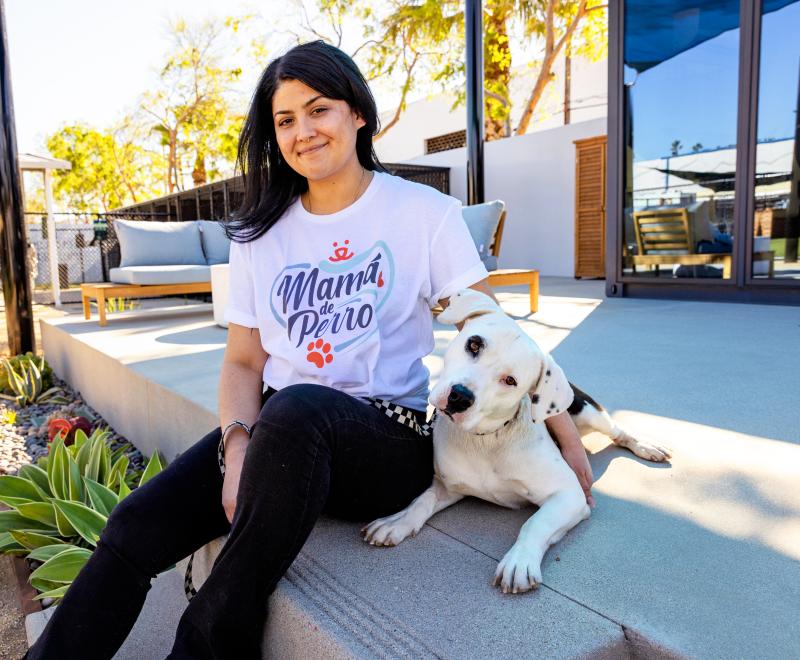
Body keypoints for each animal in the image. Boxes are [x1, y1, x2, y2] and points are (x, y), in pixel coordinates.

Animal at [362, 288, 668, 592]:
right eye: (474, 345)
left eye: (510, 380)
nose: (460, 396)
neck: (487, 439)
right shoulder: (447, 486)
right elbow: (421, 501)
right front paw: (398, 521)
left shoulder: (569, 496)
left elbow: (535, 523)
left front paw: (519, 560)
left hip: (589, 413)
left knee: (618, 432)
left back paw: (646, 447)